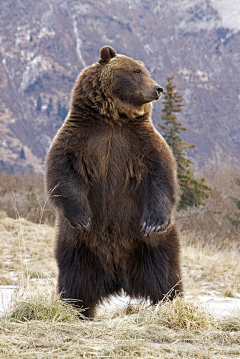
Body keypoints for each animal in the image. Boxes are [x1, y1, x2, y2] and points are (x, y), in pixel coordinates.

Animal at [46, 45, 183, 318]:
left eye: (144, 70)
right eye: (137, 71)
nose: (158, 88)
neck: (113, 118)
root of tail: (118, 278)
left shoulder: (140, 143)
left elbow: (160, 175)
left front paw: (153, 222)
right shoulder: (80, 138)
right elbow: (63, 172)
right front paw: (83, 217)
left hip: (149, 246)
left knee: (165, 273)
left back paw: (171, 304)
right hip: (77, 245)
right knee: (74, 278)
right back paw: (75, 309)